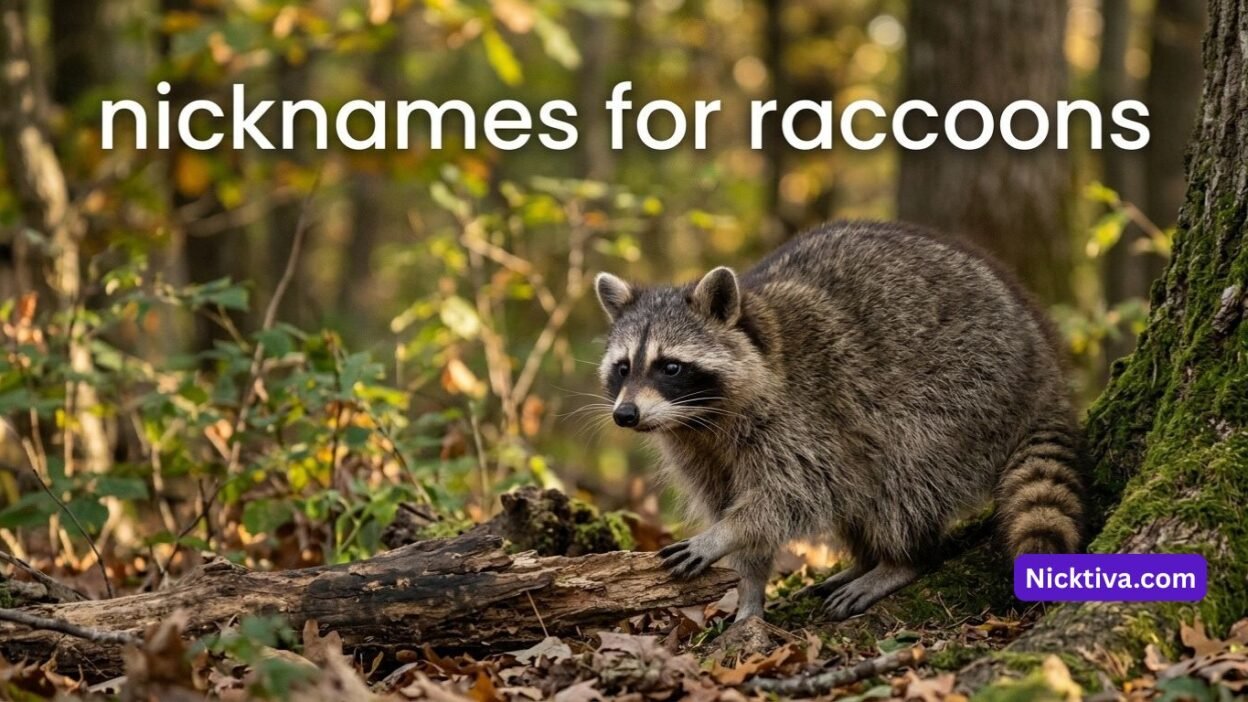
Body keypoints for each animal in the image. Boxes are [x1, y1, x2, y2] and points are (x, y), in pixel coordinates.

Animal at [593, 220, 1085, 622]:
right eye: (623, 367)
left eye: (670, 367)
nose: (626, 415)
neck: (702, 417)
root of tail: (1046, 368)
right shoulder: (696, 447)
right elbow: (730, 499)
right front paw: (750, 590)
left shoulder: (803, 413)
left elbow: (796, 493)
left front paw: (727, 534)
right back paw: (866, 559)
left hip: (969, 387)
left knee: (905, 475)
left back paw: (900, 559)